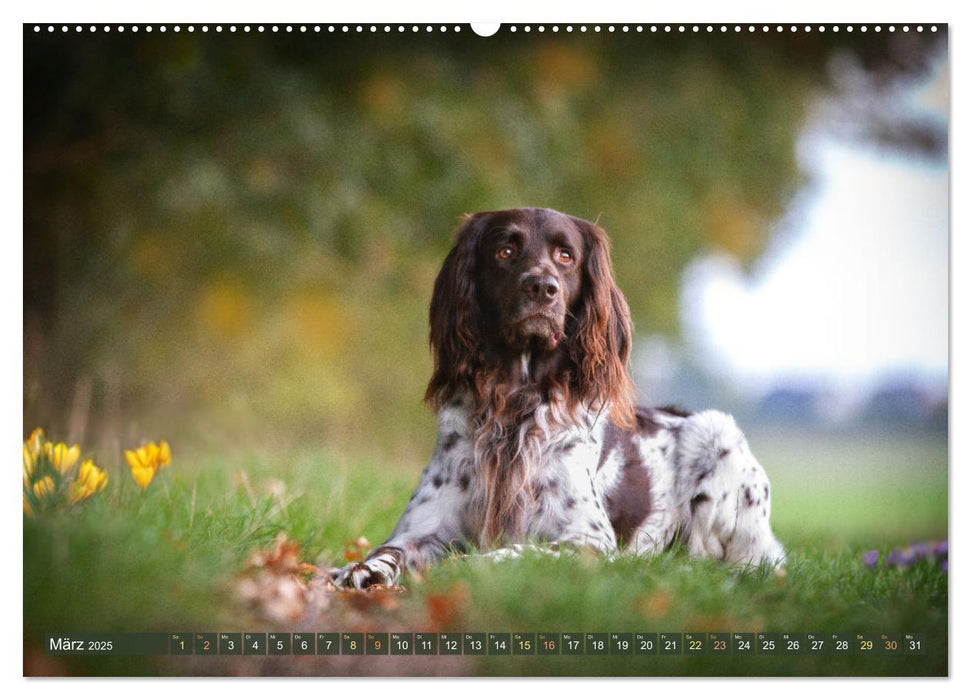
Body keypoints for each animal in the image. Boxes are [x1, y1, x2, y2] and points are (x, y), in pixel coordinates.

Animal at [330, 205, 784, 588]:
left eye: (566, 256)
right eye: (505, 250)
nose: (541, 287)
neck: (515, 404)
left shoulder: (589, 541)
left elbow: (519, 552)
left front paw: (471, 565)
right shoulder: (420, 529)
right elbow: (388, 551)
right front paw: (360, 570)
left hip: (718, 435)